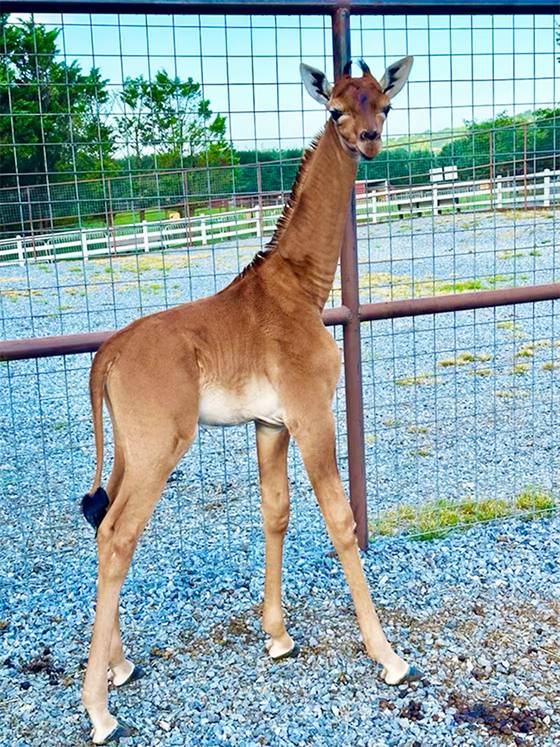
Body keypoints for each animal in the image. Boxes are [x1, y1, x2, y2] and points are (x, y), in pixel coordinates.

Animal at [81, 56, 416, 744]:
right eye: (335, 110)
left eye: (385, 105)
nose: (369, 141)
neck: (303, 289)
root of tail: (108, 355)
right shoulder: (312, 413)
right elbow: (340, 520)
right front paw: (390, 658)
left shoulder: (269, 423)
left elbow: (276, 513)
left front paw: (279, 636)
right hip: (160, 447)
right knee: (119, 535)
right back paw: (99, 710)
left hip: (128, 448)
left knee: (101, 523)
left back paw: (120, 665)